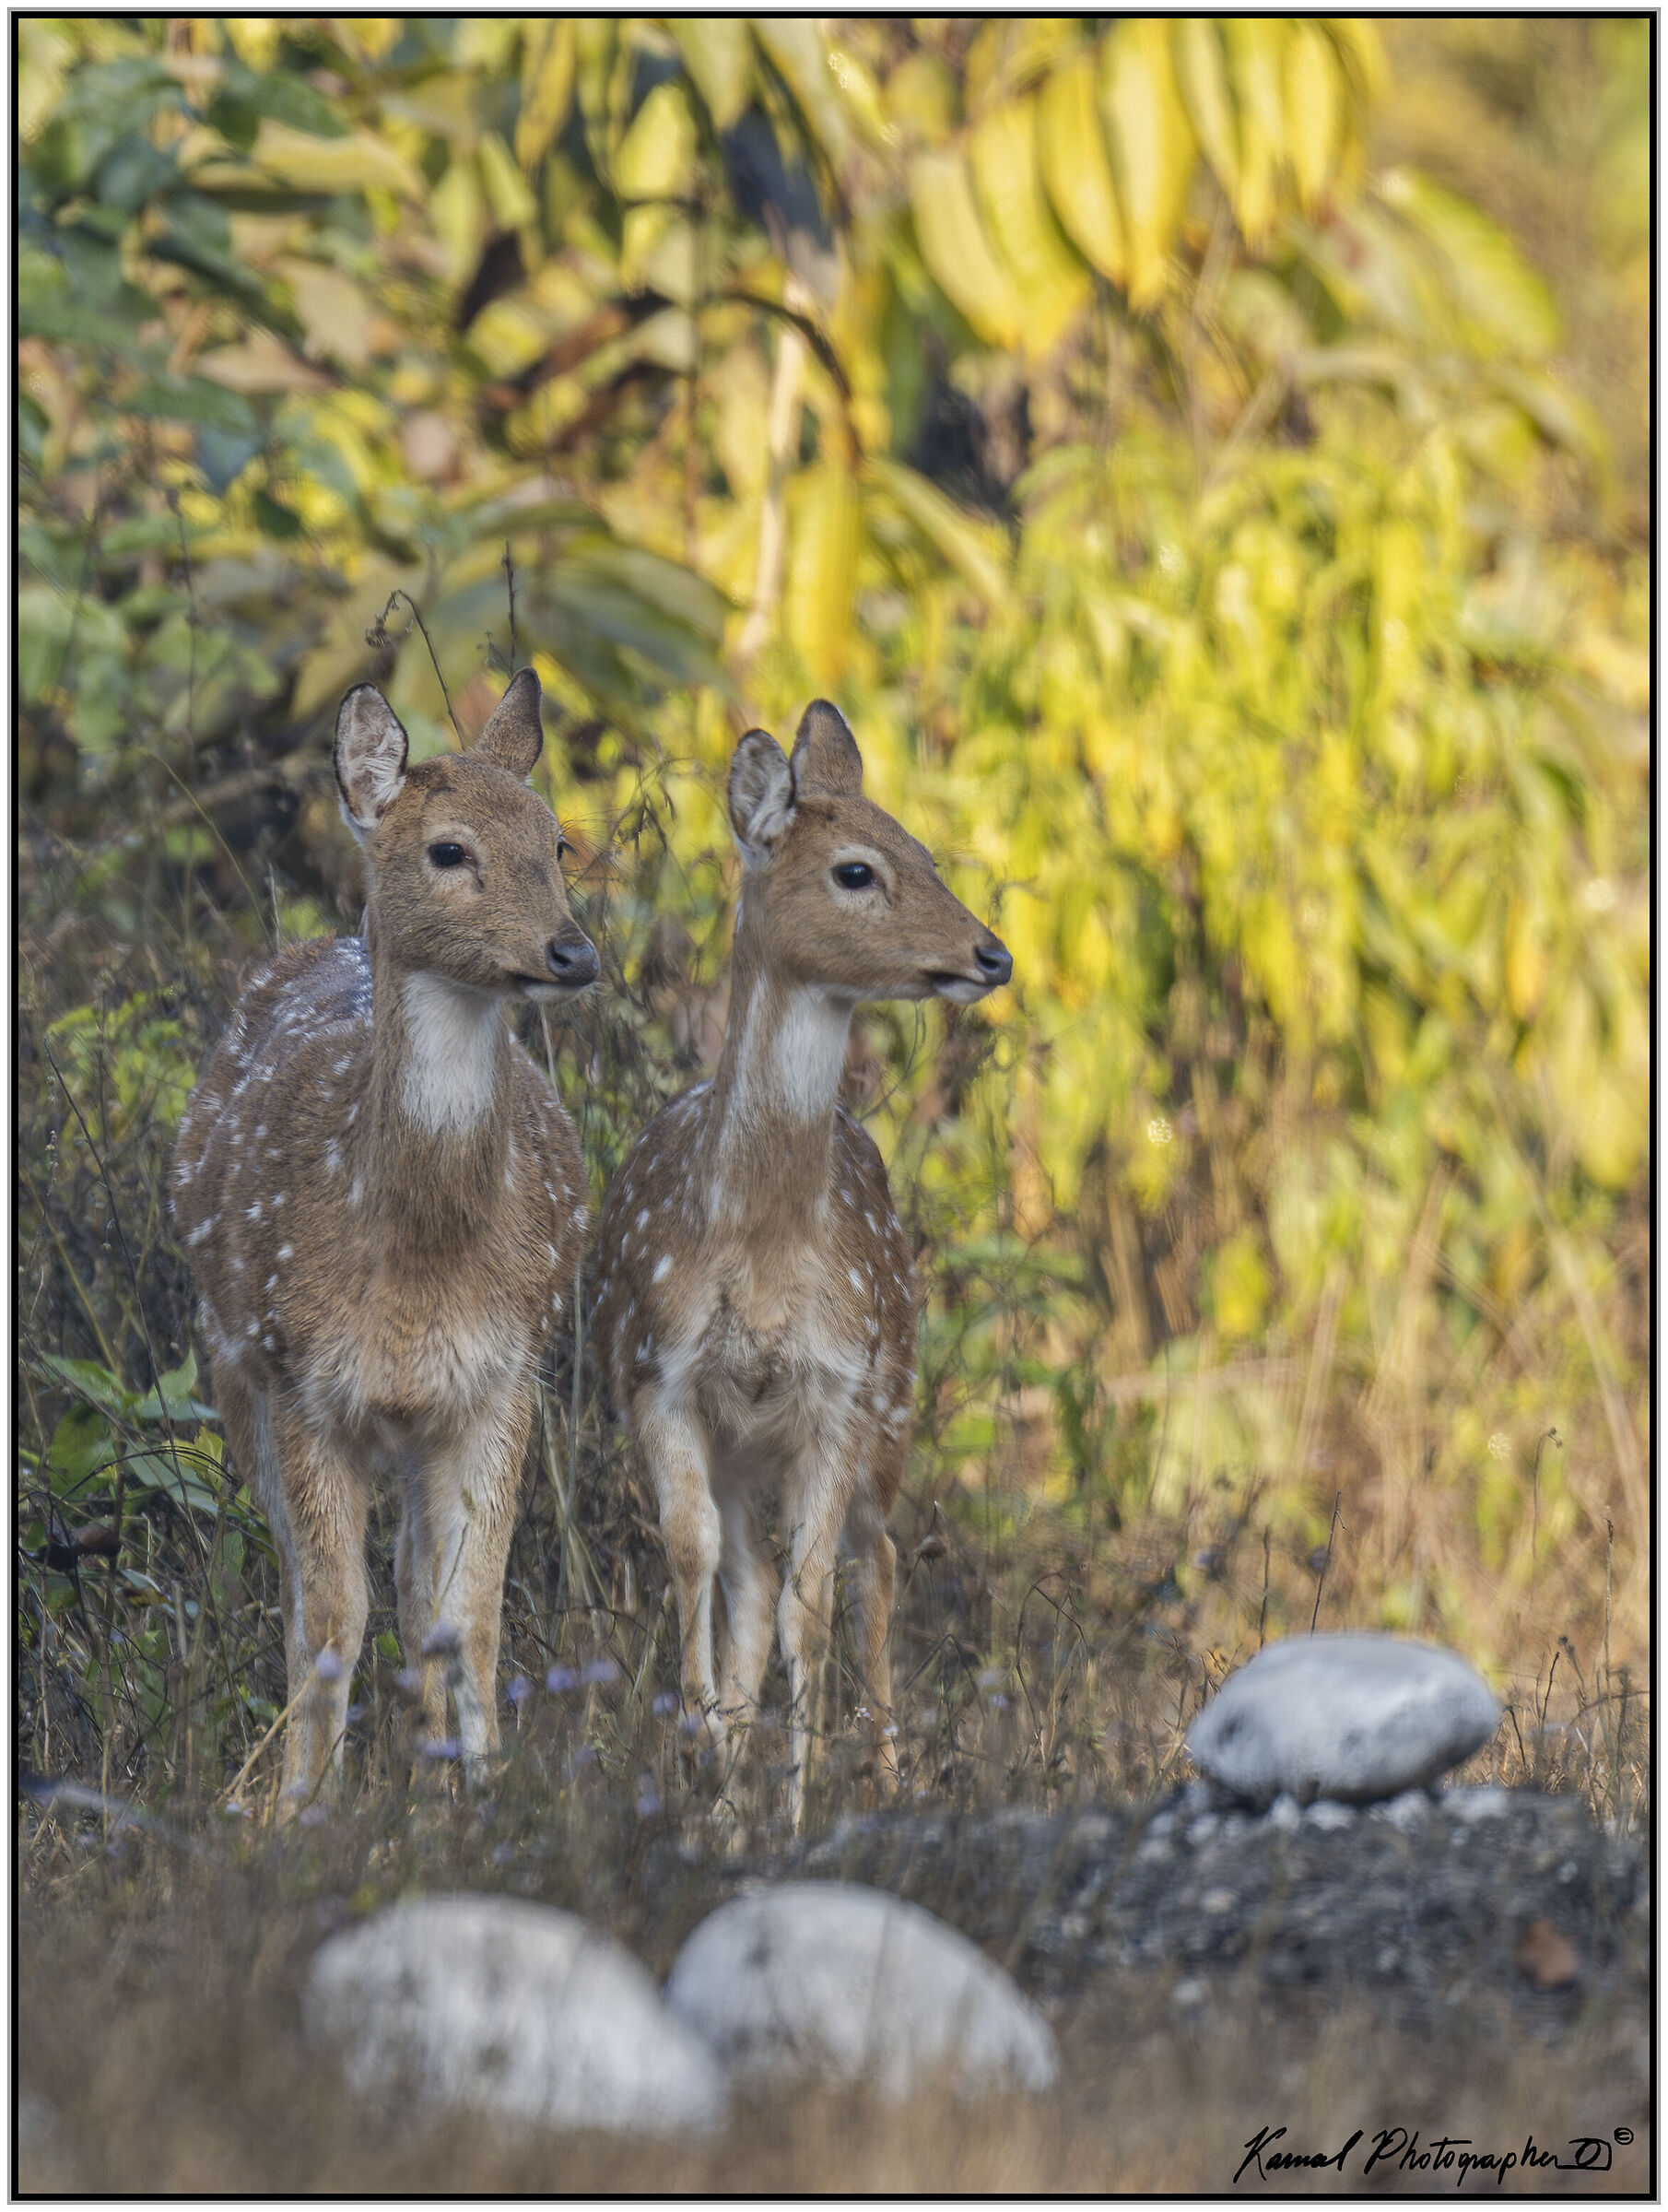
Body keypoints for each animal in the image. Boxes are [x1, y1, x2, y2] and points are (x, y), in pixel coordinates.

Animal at [169, 669, 596, 1815]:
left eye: (558, 843)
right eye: (448, 850)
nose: (572, 951)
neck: (416, 1262)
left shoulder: (501, 1378)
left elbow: (467, 1614)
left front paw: (480, 1799)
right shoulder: (299, 1378)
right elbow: (328, 1616)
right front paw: (298, 1815)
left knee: (415, 1588)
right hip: (232, 1366)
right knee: (310, 1585)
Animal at [592, 701, 1012, 1830]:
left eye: (923, 848)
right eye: (856, 870)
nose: (991, 954)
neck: (764, 1253)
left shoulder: (836, 1388)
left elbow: (811, 1603)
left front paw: (794, 1803)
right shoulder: (658, 1375)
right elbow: (697, 1562)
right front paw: (703, 1753)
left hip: (893, 1404)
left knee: (879, 1561)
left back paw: (888, 1775)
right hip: (755, 1448)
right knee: (749, 1582)